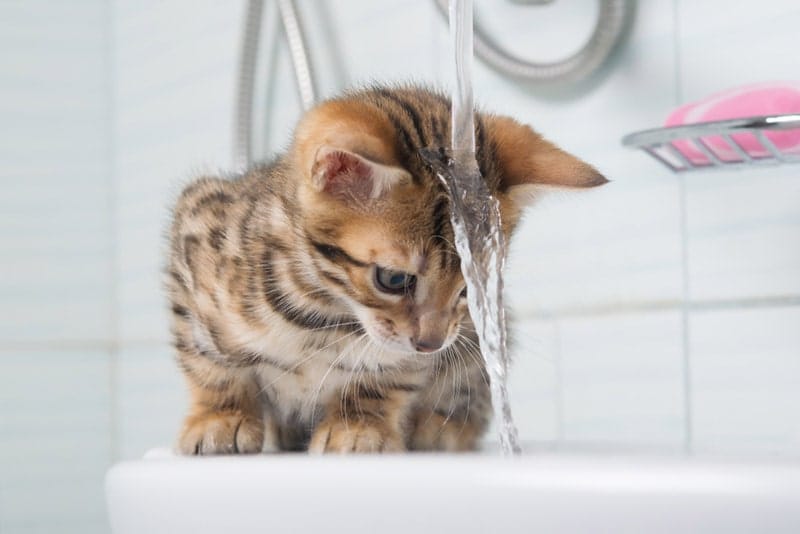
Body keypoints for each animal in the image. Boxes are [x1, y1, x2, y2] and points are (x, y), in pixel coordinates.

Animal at [169, 86, 608, 454]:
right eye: (394, 280)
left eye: (467, 290)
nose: (431, 343)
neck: (325, 313)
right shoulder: (194, 231)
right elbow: (207, 363)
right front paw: (219, 417)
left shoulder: (417, 351)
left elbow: (387, 376)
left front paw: (359, 425)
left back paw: (443, 427)